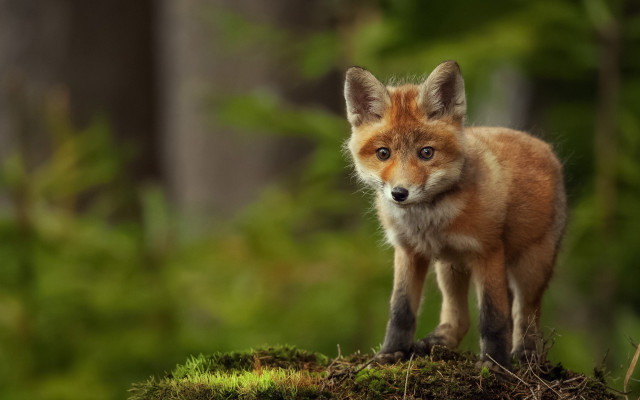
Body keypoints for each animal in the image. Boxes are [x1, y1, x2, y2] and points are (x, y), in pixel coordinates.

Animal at [343, 60, 566, 369]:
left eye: (426, 153)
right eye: (383, 153)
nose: (400, 193)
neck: (428, 220)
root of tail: (547, 149)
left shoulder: (488, 251)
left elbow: (493, 318)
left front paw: (493, 365)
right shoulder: (408, 251)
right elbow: (401, 311)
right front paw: (391, 352)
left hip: (531, 267)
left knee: (526, 314)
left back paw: (526, 354)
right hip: (450, 266)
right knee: (459, 317)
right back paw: (439, 341)